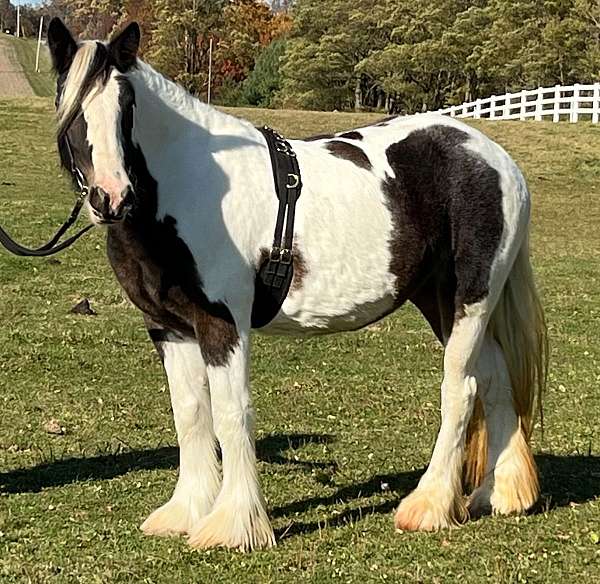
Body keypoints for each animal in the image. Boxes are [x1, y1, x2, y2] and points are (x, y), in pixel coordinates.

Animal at [44, 21, 548, 552]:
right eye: (71, 106)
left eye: (127, 106)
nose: (111, 197)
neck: (189, 185)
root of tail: (496, 160)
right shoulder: (170, 328)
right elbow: (191, 415)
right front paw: (185, 512)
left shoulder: (223, 325)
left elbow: (231, 414)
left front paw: (233, 525)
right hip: (442, 303)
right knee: (493, 379)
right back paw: (502, 493)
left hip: (470, 298)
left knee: (462, 389)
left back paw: (427, 506)